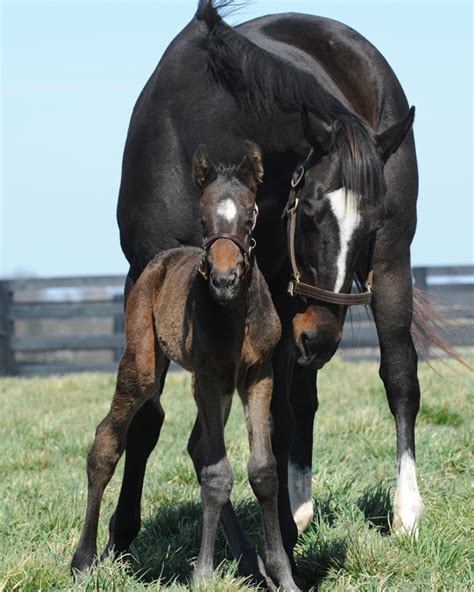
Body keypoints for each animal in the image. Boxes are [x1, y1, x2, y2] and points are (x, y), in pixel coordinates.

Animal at [70, 143, 298, 592]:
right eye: (203, 219)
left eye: (250, 216)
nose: (224, 280)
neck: (234, 315)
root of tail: (161, 258)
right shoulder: (206, 378)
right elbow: (216, 474)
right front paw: (203, 574)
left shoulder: (257, 375)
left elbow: (263, 471)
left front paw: (281, 575)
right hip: (143, 364)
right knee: (107, 441)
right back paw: (83, 560)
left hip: (224, 388)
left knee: (197, 448)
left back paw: (252, 564)